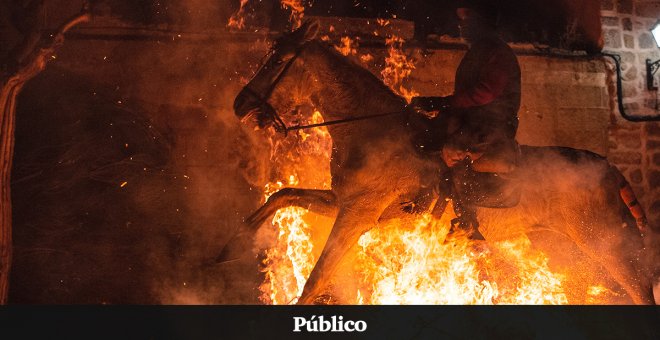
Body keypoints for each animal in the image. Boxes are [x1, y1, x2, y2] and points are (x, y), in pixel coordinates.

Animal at [231, 19, 656, 304]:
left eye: (279, 60)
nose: (240, 105)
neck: (371, 130)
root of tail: (606, 166)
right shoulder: (343, 203)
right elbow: (282, 196)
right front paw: (236, 241)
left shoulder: (357, 215)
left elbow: (316, 279)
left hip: (609, 244)